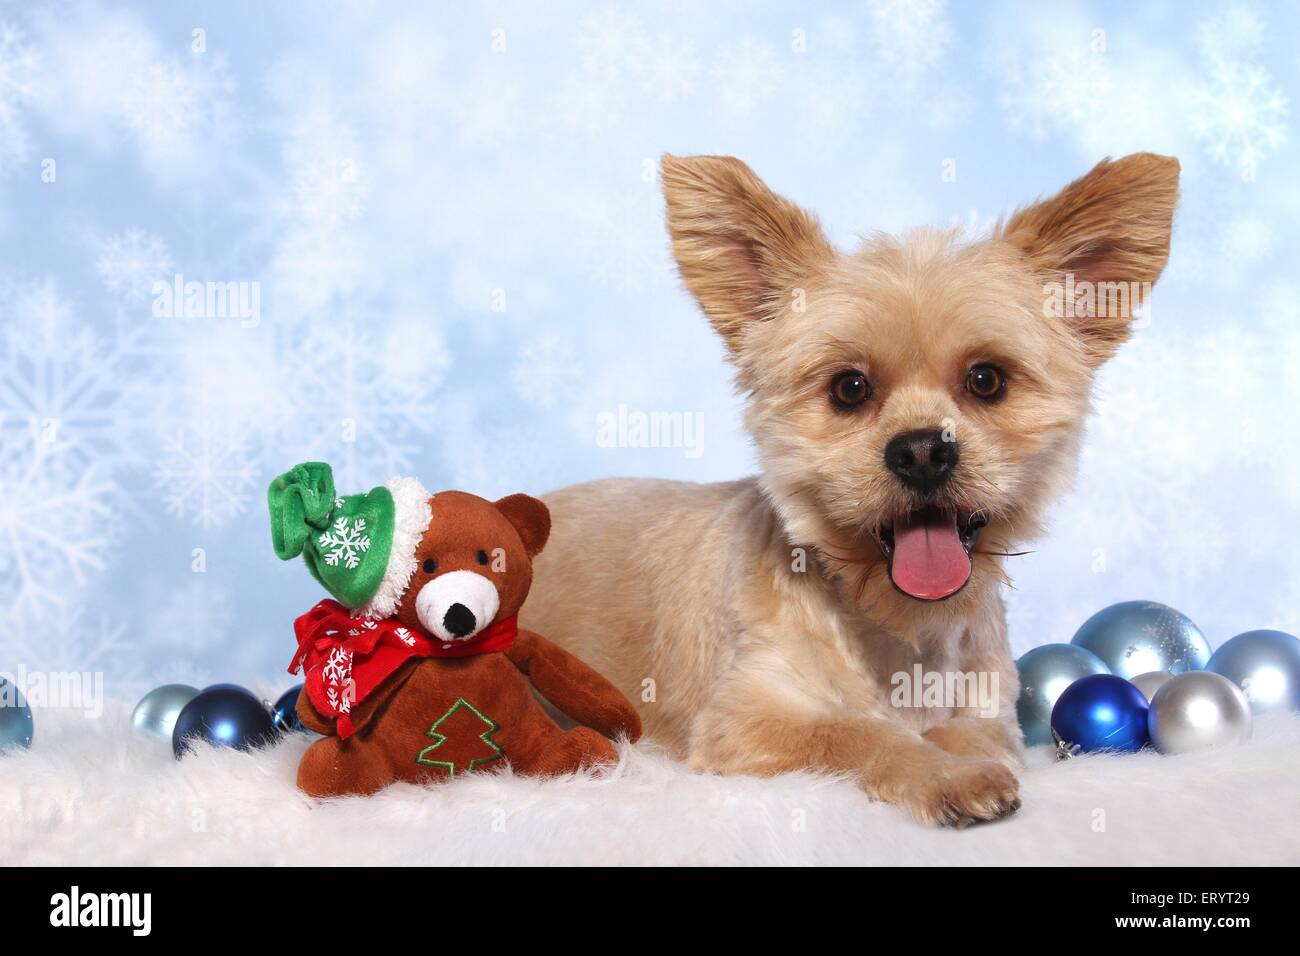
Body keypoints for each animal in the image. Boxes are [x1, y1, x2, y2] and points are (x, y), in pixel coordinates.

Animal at [520, 149, 1180, 822]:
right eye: (849, 388)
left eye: (987, 380)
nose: (922, 451)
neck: (900, 633)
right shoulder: (744, 721)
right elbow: (859, 732)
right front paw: (943, 775)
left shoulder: (991, 711)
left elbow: (972, 735)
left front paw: (963, 758)